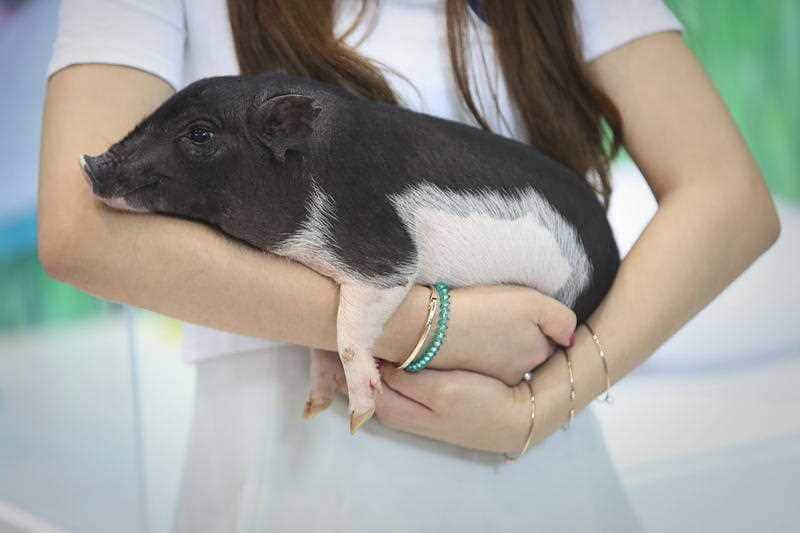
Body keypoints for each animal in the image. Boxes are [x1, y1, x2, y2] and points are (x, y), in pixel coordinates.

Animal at [80, 72, 620, 434]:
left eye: (199, 133)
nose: (89, 162)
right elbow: (318, 342)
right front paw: (314, 406)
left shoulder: (383, 253)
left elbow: (349, 330)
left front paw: (358, 417)